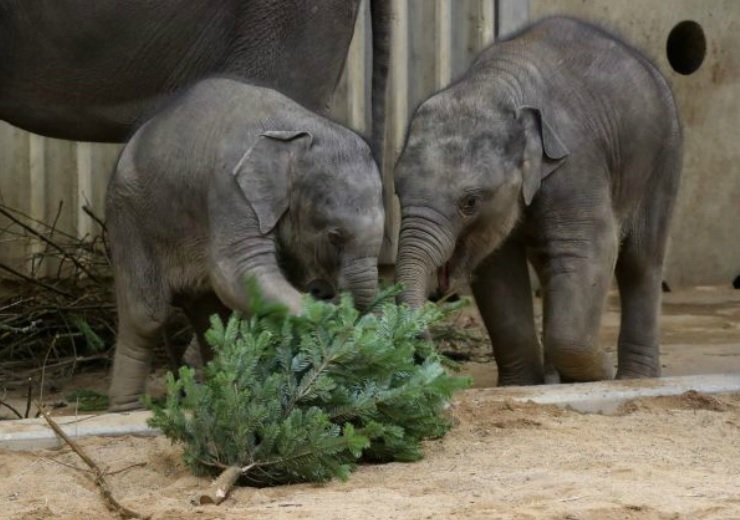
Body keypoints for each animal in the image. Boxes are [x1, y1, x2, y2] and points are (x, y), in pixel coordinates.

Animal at [106, 76, 384, 410]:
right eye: (334, 236)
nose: (324, 291)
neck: (298, 130)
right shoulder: (230, 188)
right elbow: (240, 272)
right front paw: (328, 317)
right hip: (131, 216)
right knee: (147, 315)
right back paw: (129, 408)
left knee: (211, 317)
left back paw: (218, 393)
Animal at [396, 16, 680, 384]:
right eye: (397, 190)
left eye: (469, 202)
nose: (439, 362)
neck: (495, 85)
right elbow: (497, 271)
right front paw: (521, 385)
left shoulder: (576, 163)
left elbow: (592, 248)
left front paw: (599, 374)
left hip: (663, 161)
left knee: (641, 260)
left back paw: (635, 379)